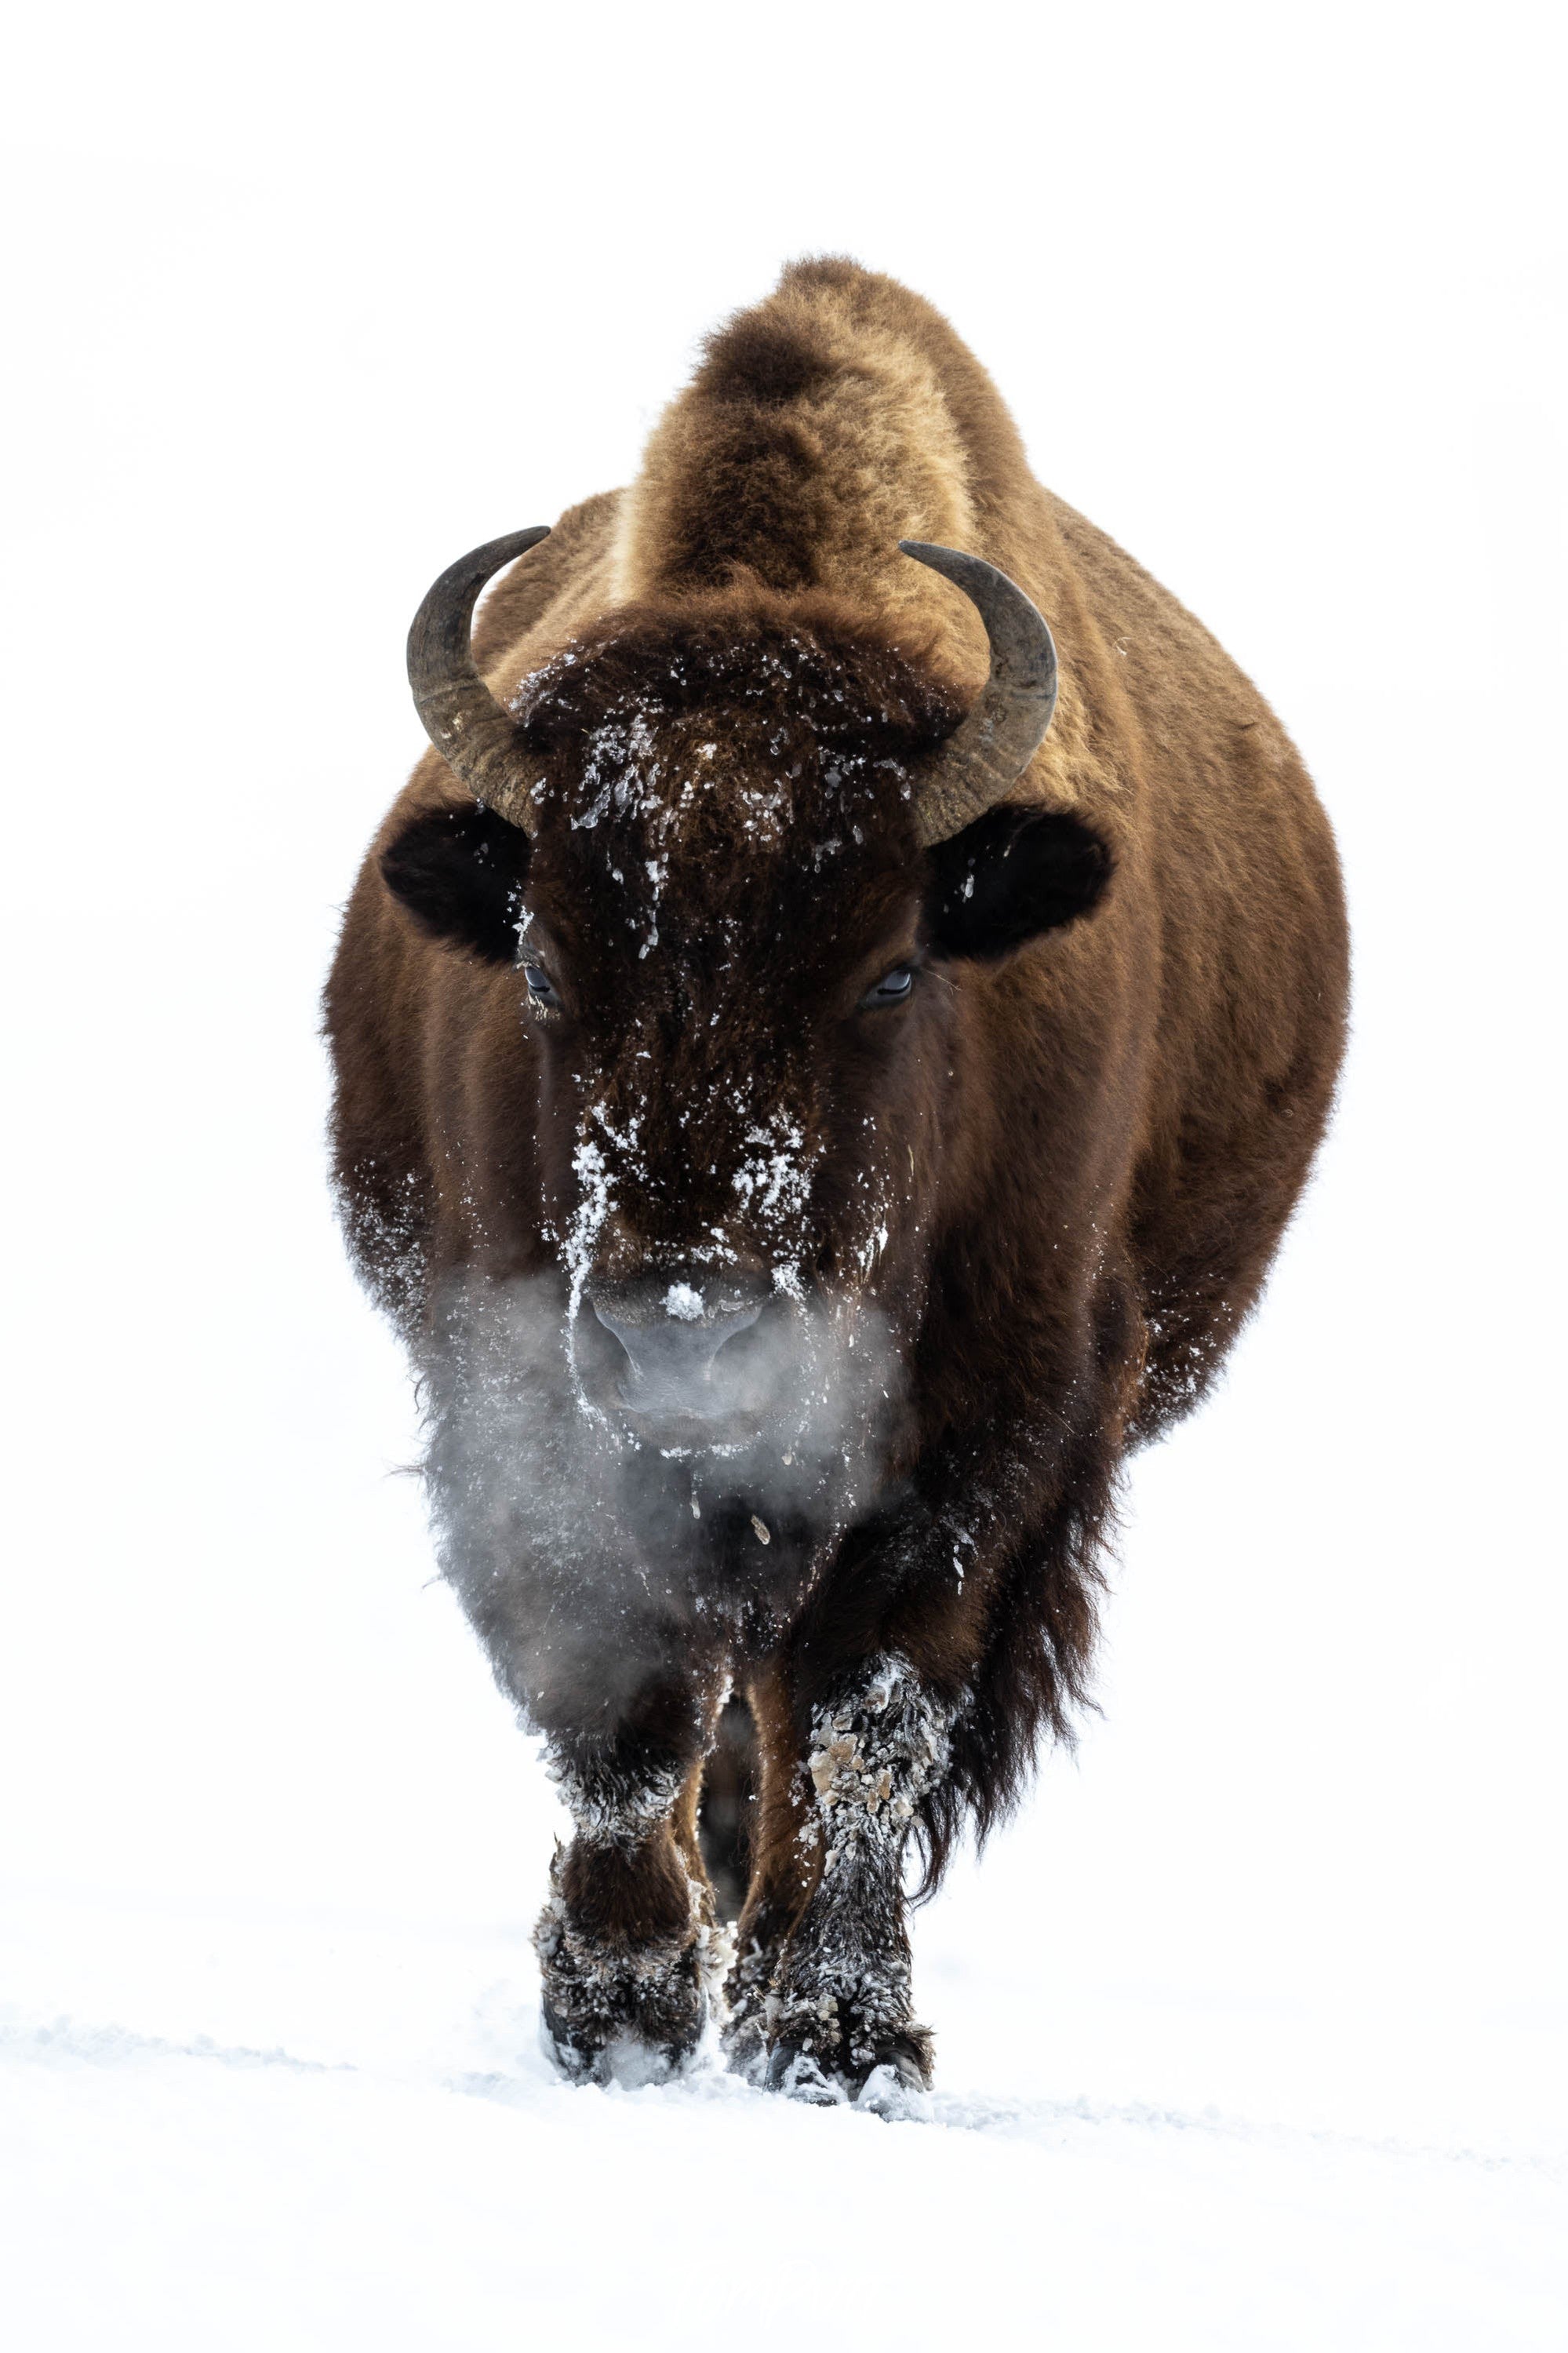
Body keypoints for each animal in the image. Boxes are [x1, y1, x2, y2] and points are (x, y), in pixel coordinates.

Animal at [329, 262, 1354, 2118]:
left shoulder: (993, 1416)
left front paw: (832, 2037)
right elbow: (620, 1688)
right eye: (539, 963)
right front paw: (619, 2012)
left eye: (891, 971)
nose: (683, 1324)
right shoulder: (519, 1385)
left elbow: (870, 1701)